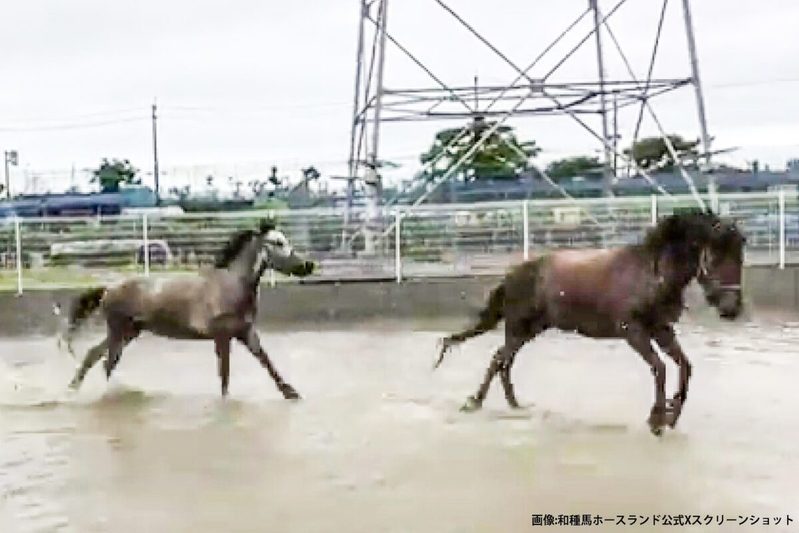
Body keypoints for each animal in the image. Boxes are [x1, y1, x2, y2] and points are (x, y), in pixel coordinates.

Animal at [61, 218, 316, 396]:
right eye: (278, 243)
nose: (307, 265)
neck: (231, 285)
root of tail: (108, 289)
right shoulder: (223, 337)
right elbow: (225, 376)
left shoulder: (245, 332)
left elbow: (266, 361)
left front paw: (291, 392)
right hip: (119, 331)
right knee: (107, 362)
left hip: (130, 332)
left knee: (94, 355)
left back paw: (74, 389)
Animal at [434, 210, 748, 434]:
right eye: (715, 257)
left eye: (740, 257)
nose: (732, 309)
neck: (651, 275)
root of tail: (512, 275)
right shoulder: (633, 331)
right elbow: (659, 368)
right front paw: (657, 419)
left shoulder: (661, 329)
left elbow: (685, 366)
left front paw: (671, 415)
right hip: (518, 327)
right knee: (499, 359)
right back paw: (475, 402)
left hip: (530, 329)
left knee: (505, 361)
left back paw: (513, 404)